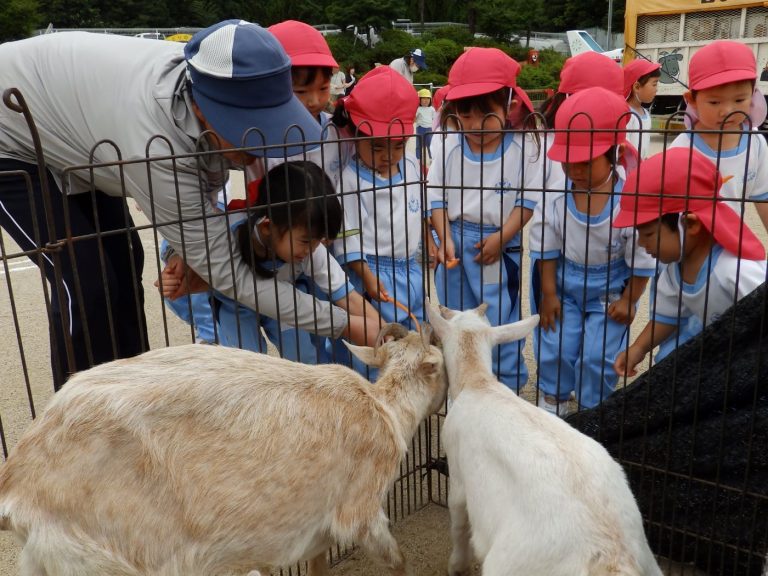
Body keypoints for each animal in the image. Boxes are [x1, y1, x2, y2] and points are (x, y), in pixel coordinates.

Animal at [0, 324, 444, 576]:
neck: (385, 408)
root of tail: (14, 485)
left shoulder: (317, 531)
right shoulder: (360, 510)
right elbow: (398, 560)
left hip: (50, 559)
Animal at [428, 302, 664, 576]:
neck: (477, 382)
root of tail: (612, 557)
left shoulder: (457, 473)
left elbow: (458, 524)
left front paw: (457, 566)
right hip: (648, 560)